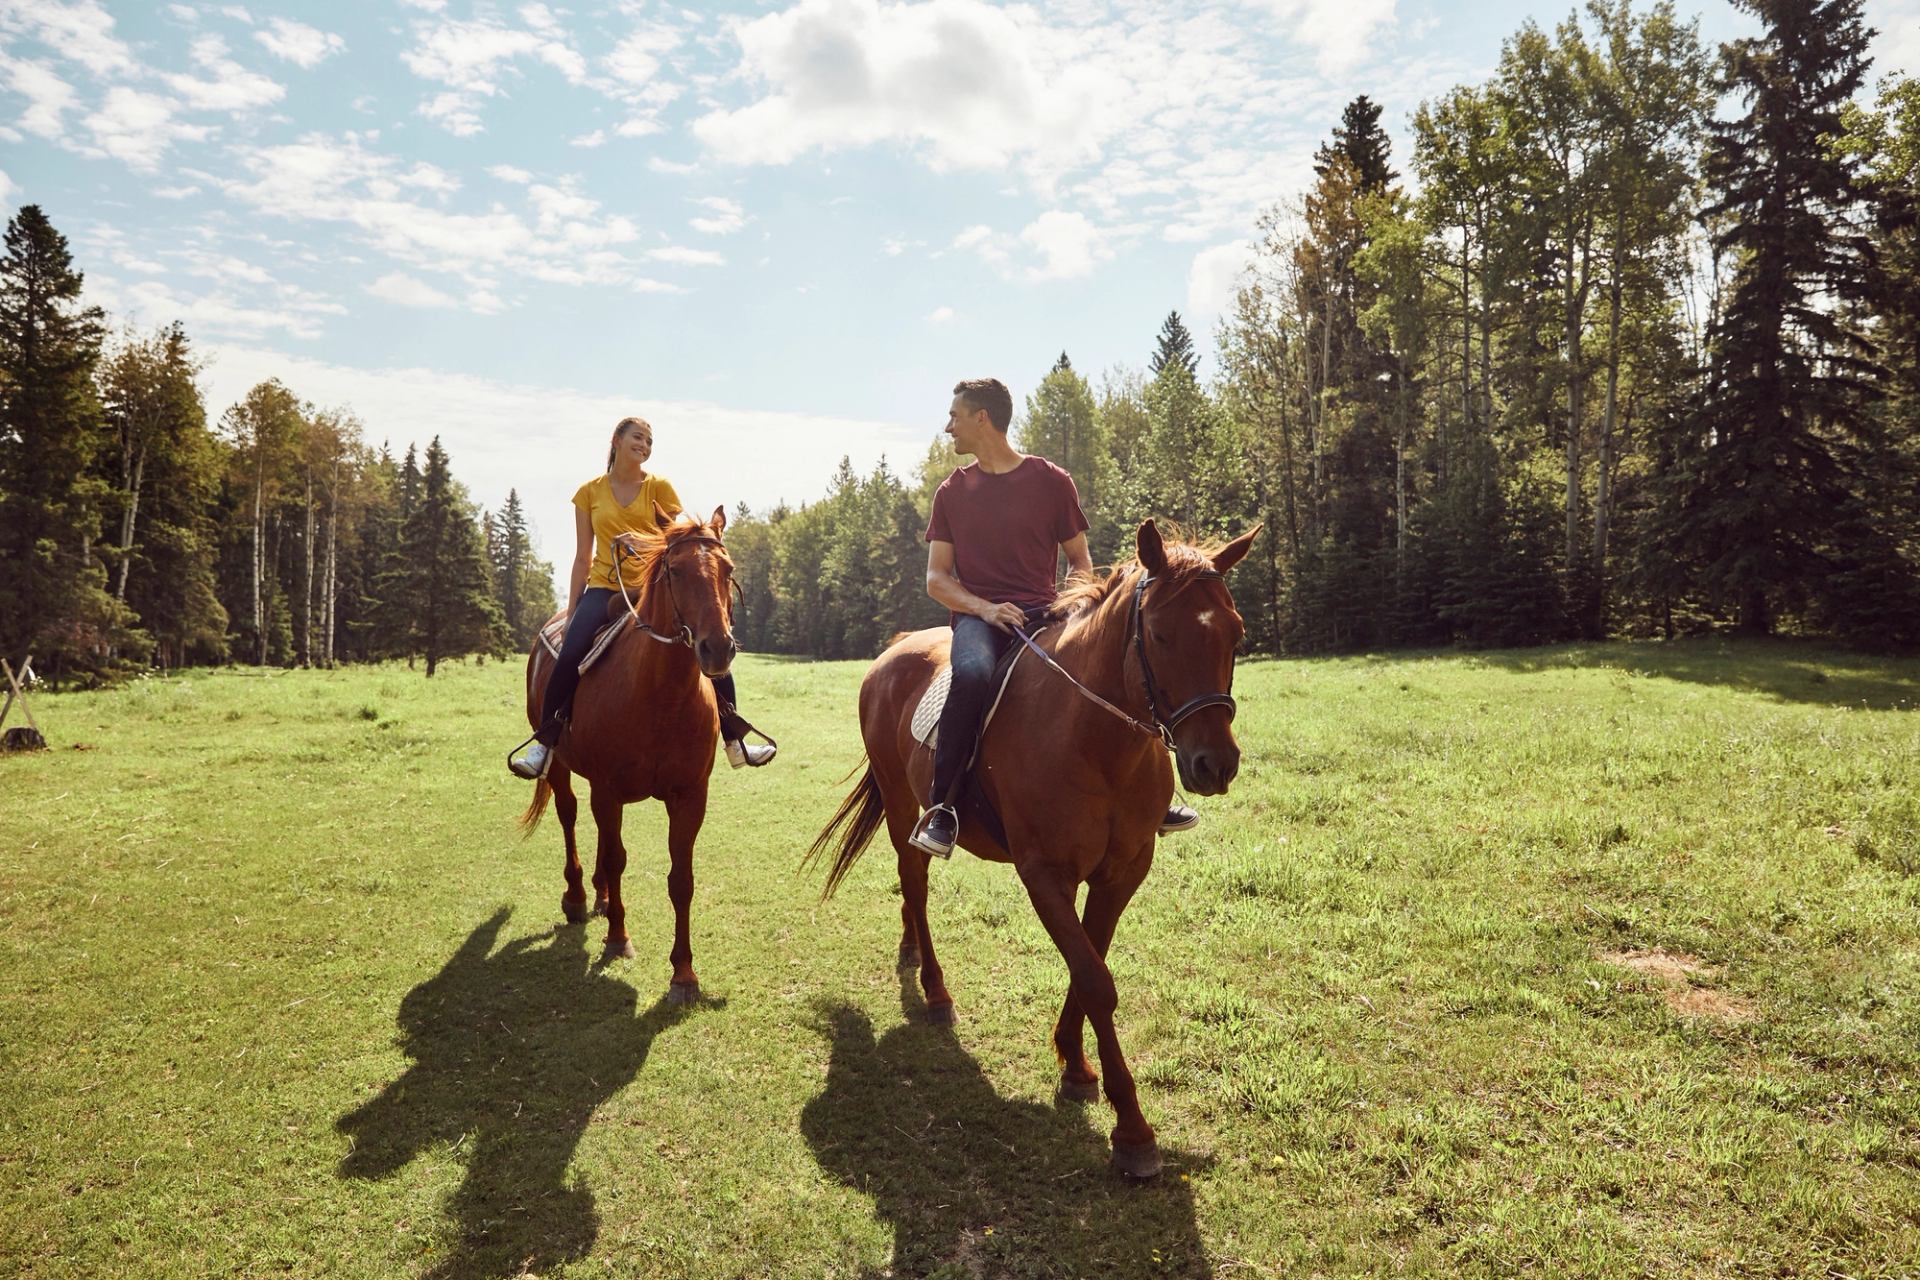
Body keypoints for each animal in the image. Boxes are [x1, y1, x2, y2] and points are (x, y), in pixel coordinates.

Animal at [522, 502, 737, 997]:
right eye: (675, 571)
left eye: (728, 569)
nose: (717, 649)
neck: (659, 695)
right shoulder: (609, 788)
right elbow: (618, 859)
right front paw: (619, 938)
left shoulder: (689, 797)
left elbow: (681, 878)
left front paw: (684, 974)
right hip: (562, 766)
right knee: (569, 816)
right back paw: (578, 896)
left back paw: (599, 895)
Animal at [806, 521, 1259, 1182]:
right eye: (1159, 633)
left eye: (1236, 632)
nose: (1214, 765)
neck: (1097, 742)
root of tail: (892, 653)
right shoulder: (1045, 874)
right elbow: (1096, 980)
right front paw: (1132, 1130)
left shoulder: (1121, 873)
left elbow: (1090, 961)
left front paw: (1075, 1064)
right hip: (900, 802)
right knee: (914, 879)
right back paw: (936, 991)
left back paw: (912, 951)